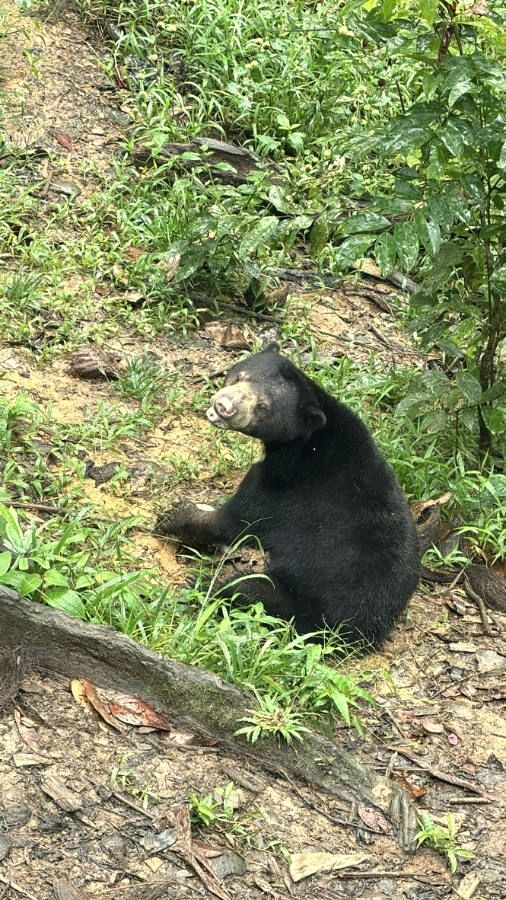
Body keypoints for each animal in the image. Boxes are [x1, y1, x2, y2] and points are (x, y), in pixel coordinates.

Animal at [156, 343, 420, 649]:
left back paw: (204, 589)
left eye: (263, 407)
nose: (224, 407)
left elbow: (237, 521)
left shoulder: (287, 488)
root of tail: (358, 635)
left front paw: (171, 519)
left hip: (298, 600)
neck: (306, 441)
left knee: (248, 589)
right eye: (240, 376)